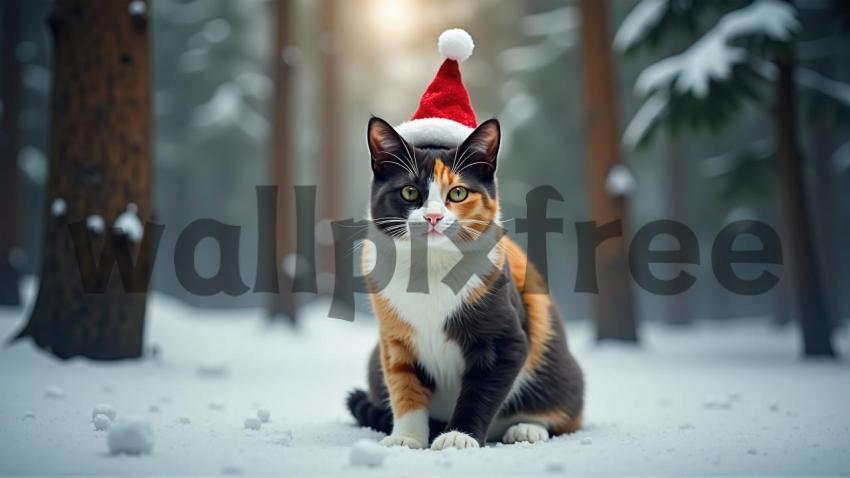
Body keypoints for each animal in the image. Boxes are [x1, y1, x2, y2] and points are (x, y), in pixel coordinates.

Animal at [346, 117, 584, 450]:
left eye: (458, 193)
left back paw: (527, 428)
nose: (433, 217)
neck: (430, 267)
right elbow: (404, 385)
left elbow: (480, 392)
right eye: (409, 192)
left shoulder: (504, 340)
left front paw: (459, 436)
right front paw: (406, 437)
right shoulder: (394, 340)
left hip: (559, 370)